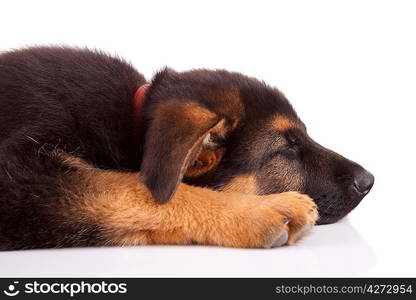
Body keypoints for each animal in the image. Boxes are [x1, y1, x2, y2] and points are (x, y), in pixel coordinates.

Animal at [0, 46, 374, 248]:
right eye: (287, 147)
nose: (368, 181)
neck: (134, 128)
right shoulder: (20, 181)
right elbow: (129, 189)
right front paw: (258, 211)